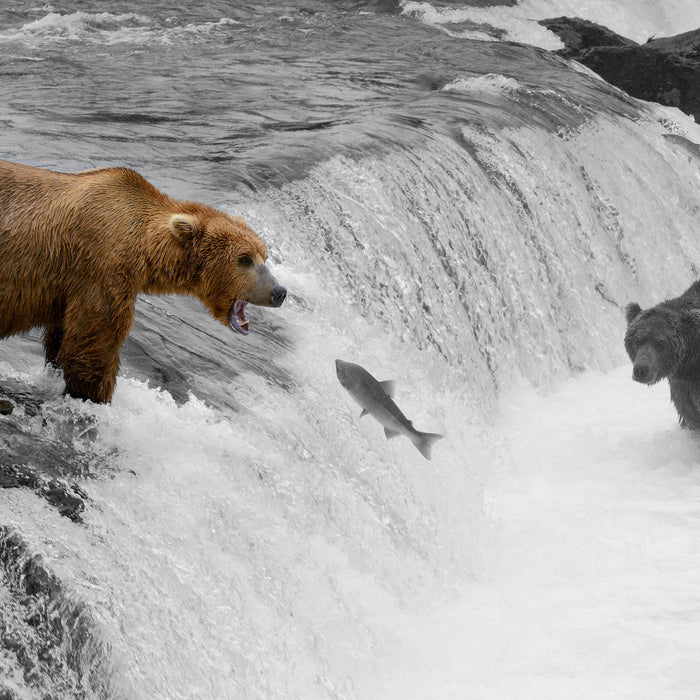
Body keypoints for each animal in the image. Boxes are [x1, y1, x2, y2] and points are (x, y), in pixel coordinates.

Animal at [0, 157, 288, 402]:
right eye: (244, 259)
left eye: (264, 255)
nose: (279, 291)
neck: (145, 248)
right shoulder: (102, 270)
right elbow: (93, 346)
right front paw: (94, 396)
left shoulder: (68, 288)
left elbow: (60, 338)